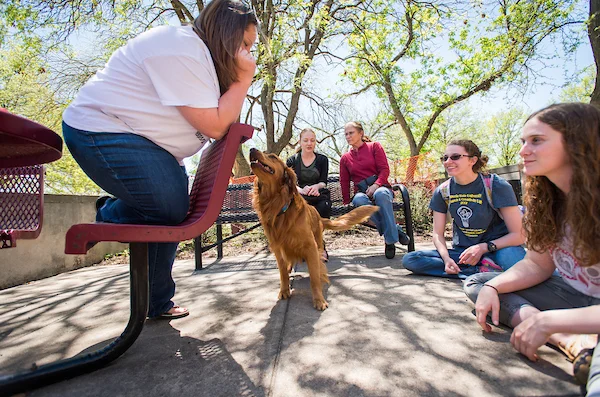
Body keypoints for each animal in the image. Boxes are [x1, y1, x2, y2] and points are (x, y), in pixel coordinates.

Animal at [251, 148, 378, 310]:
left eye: (272, 156)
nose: (251, 149)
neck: (277, 206)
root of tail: (319, 216)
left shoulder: (310, 247)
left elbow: (314, 278)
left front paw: (319, 300)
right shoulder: (278, 248)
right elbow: (283, 274)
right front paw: (284, 290)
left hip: (317, 241)